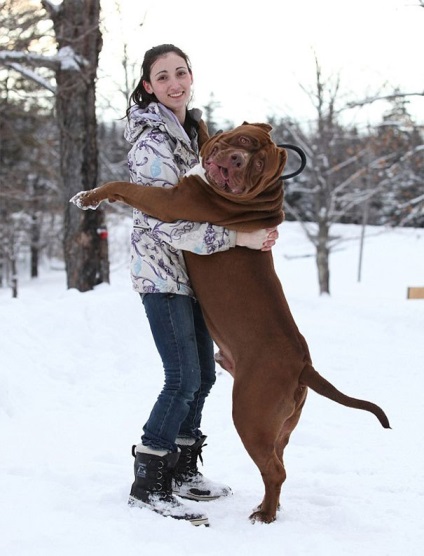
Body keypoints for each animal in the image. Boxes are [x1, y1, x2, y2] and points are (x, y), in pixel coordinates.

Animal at [70, 122, 390, 524]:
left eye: (257, 165)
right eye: (244, 141)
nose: (237, 160)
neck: (262, 194)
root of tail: (304, 365)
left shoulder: (170, 202)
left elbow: (124, 186)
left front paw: (88, 196)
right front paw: (200, 124)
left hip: (251, 415)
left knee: (275, 470)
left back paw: (265, 515)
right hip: (280, 426)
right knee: (279, 461)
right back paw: (268, 506)